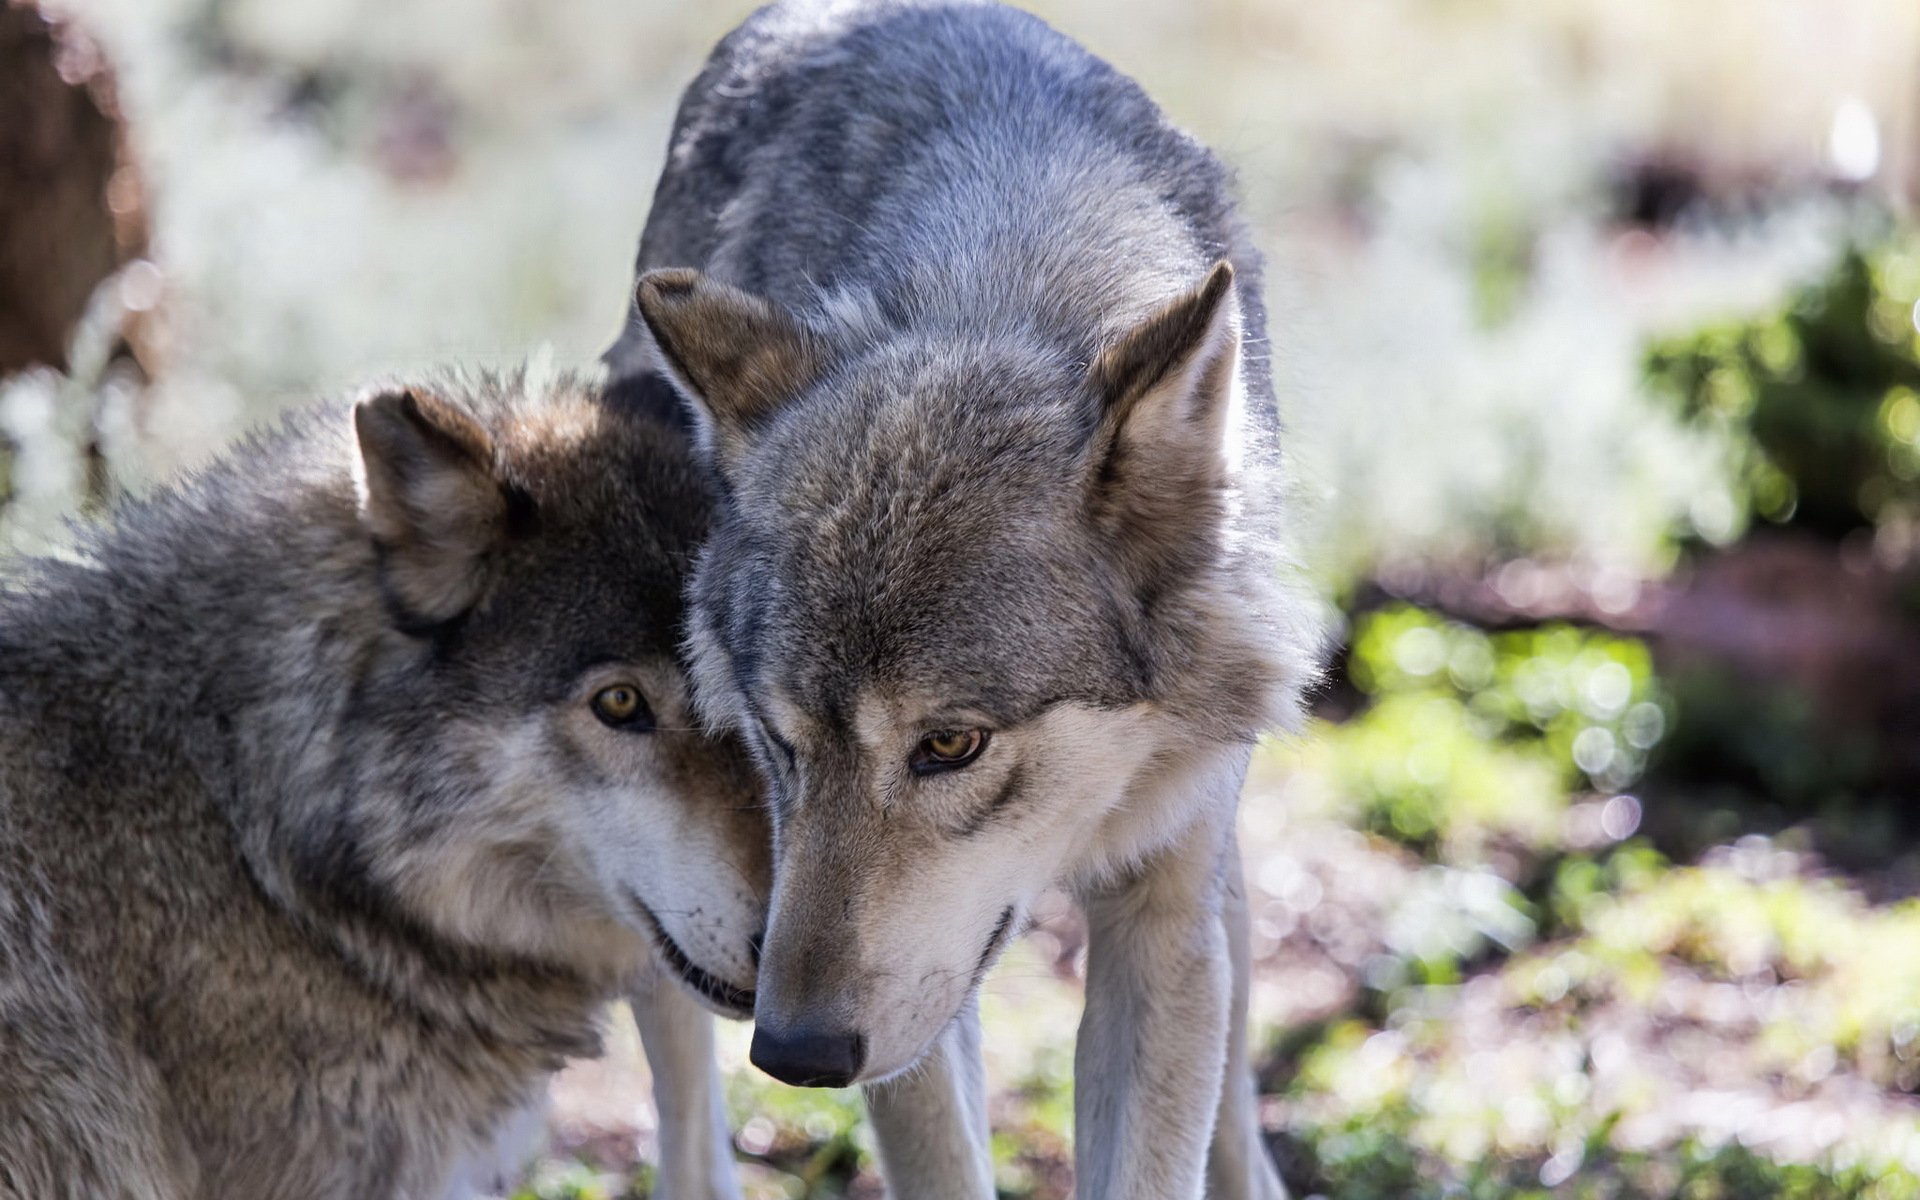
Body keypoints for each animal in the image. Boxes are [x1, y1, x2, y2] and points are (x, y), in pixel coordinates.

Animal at [607, 2, 1323, 1197]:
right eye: (779, 741)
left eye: (950, 745)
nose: (794, 1052)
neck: (1004, 271)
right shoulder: (896, 1007)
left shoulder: (1162, 917)